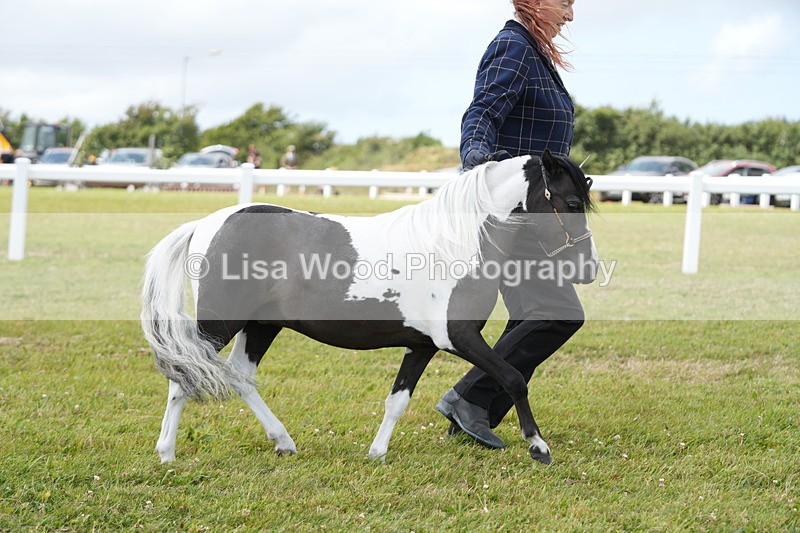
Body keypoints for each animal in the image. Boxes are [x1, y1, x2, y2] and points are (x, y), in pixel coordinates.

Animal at [141, 149, 597, 465]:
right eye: (573, 204)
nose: (588, 269)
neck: (457, 242)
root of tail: (205, 224)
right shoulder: (460, 337)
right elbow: (514, 378)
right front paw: (538, 447)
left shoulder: (422, 345)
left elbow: (398, 400)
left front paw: (377, 454)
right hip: (220, 324)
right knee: (183, 375)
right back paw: (166, 453)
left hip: (262, 325)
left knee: (239, 377)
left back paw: (283, 442)